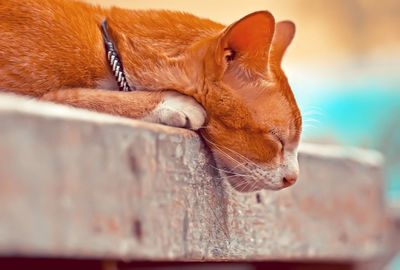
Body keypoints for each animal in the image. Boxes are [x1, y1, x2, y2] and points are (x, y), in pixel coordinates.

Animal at [0, 0, 300, 192]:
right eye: (277, 140)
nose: (293, 179)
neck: (109, 49)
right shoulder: (29, 93)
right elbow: (78, 95)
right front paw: (174, 102)